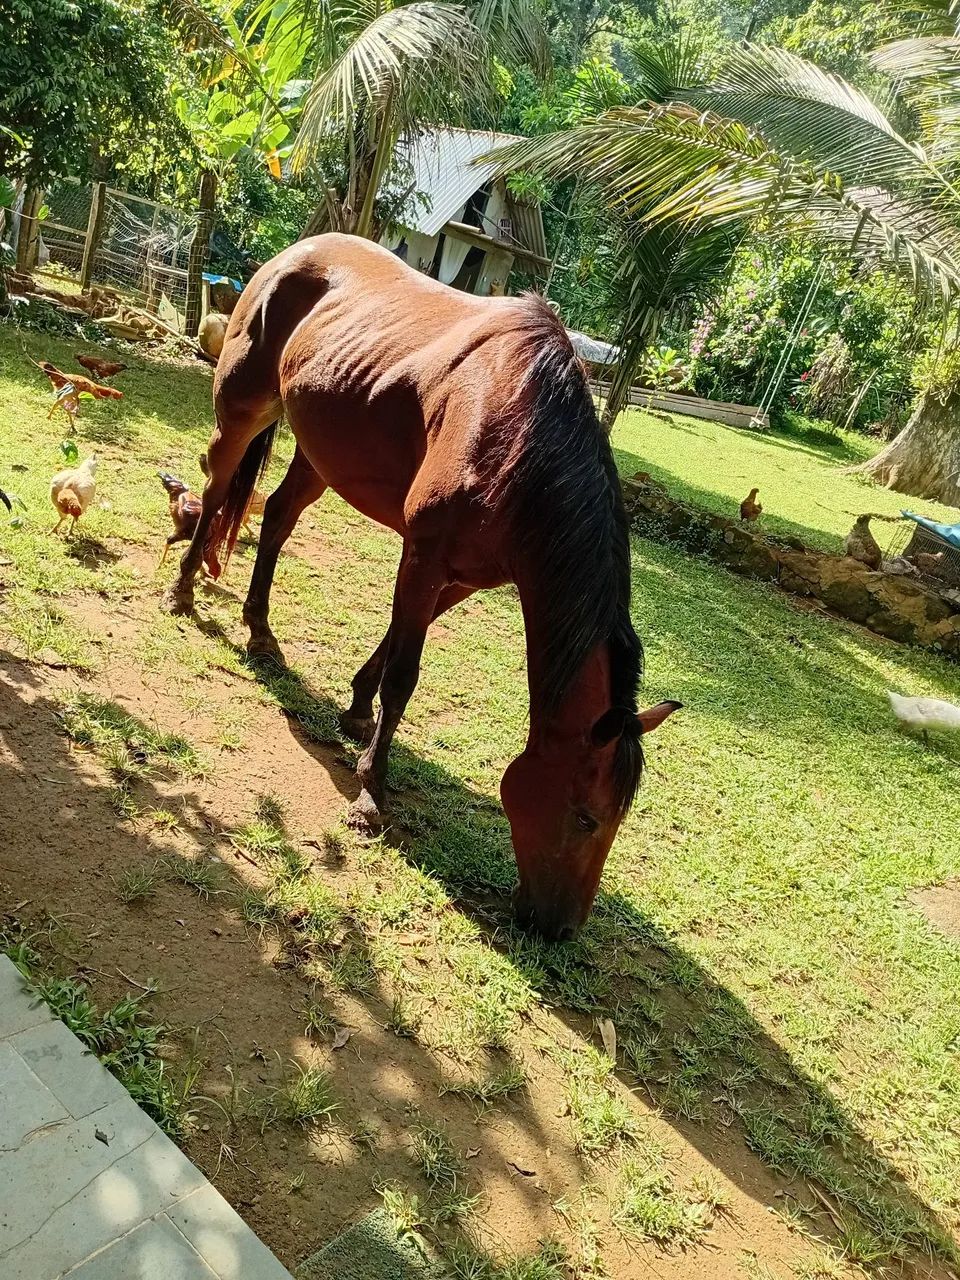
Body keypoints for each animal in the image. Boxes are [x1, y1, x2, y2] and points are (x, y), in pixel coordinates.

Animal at [163, 234, 680, 940]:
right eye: (585, 816)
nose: (561, 929)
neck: (519, 434)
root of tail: (294, 252)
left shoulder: (466, 574)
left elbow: (400, 641)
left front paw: (357, 709)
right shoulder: (426, 553)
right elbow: (405, 673)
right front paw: (371, 791)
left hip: (323, 450)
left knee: (276, 518)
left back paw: (261, 631)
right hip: (244, 411)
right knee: (217, 493)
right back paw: (184, 591)